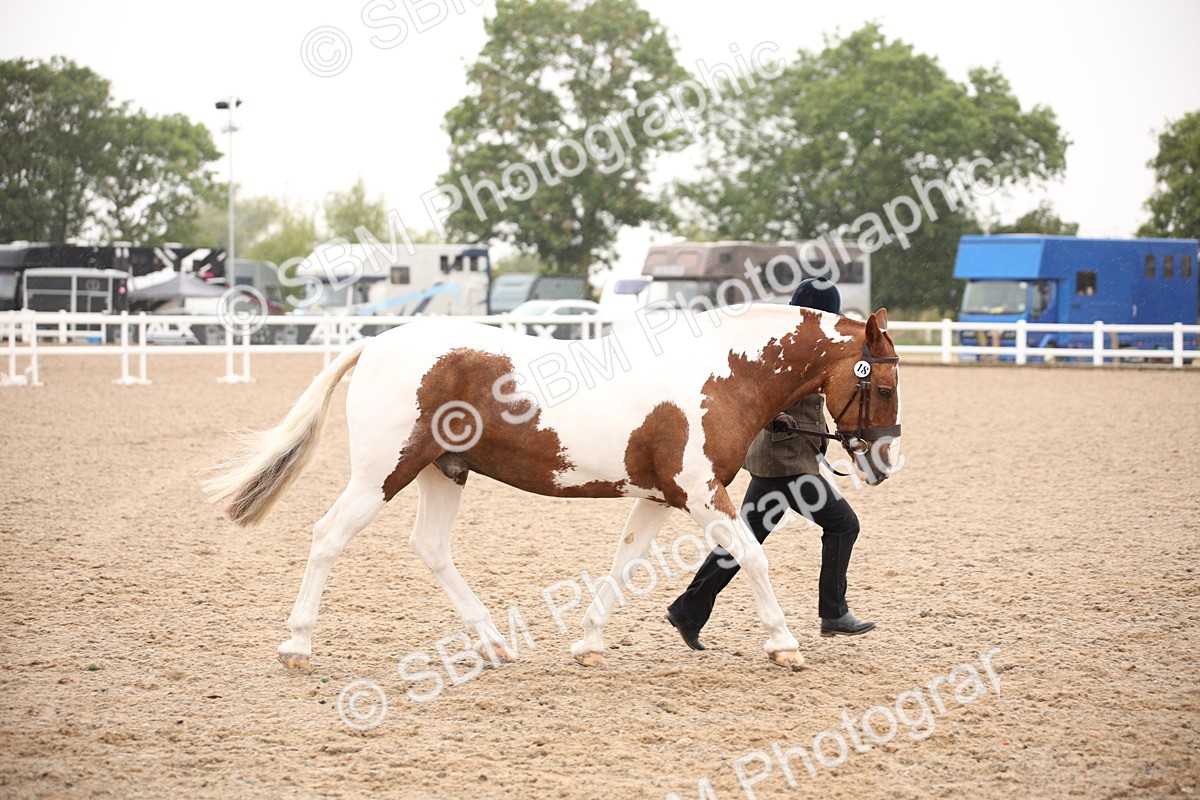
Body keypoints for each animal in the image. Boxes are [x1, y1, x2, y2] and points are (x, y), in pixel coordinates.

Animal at [204, 303, 901, 673]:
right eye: (887, 384)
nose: (885, 462)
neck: (719, 375)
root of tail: (376, 344)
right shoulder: (700, 494)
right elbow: (752, 556)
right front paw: (785, 645)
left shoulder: (658, 499)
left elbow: (624, 565)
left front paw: (589, 643)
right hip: (383, 473)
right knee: (328, 536)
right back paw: (297, 646)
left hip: (441, 472)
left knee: (430, 548)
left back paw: (493, 644)